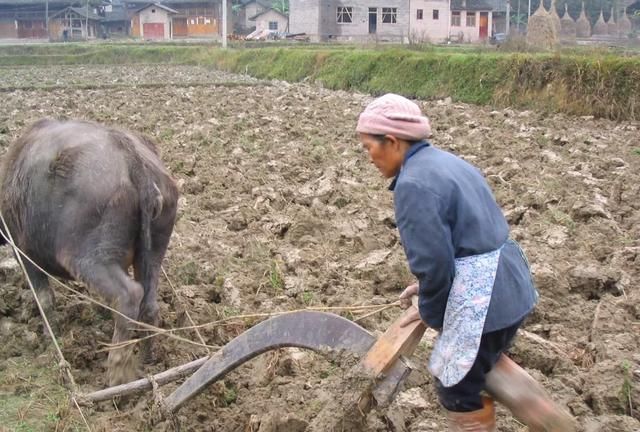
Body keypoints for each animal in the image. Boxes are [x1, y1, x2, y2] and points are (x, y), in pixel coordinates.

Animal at [1, 118, 180, 384]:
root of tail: (133, 160)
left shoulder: (24, 254)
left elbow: (44, 300)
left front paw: (50, 338)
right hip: (153, 252)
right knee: (148, 305)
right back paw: (145, 360)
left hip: (88, 257)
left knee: (128, 296)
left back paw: (117, 372)